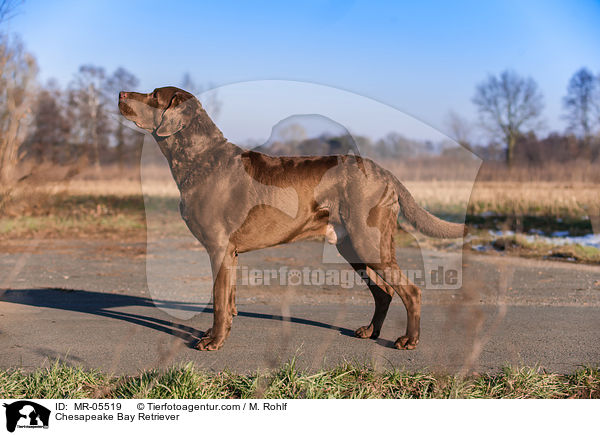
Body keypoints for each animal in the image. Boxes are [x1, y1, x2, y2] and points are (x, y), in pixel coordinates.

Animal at [117, 87, 464, 352]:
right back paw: (370, 331)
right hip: (351, 246)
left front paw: (213, 342)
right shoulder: (230, 253)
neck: (200, 159)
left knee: (410, 290)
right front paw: (220, 332)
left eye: (153, 95)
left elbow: (217, 301)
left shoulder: (218, 247)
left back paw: (408, 340)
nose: (120, 93)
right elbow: (228, 300)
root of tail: (386, 172)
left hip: (369, 242)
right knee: (384, 292)